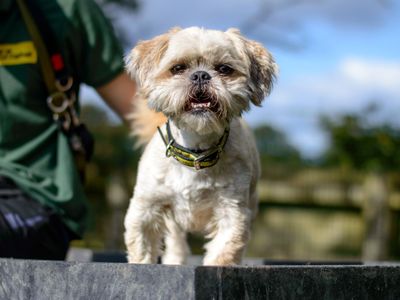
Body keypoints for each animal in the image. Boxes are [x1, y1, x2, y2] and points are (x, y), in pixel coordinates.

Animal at [123, 26, 276, 264]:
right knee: (176, 243)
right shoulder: (145, 208)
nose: (201, 75)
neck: (195, 151)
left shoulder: (232, 212)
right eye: (178, 68)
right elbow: (142, 248)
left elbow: (223, 252)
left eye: (224, 69)